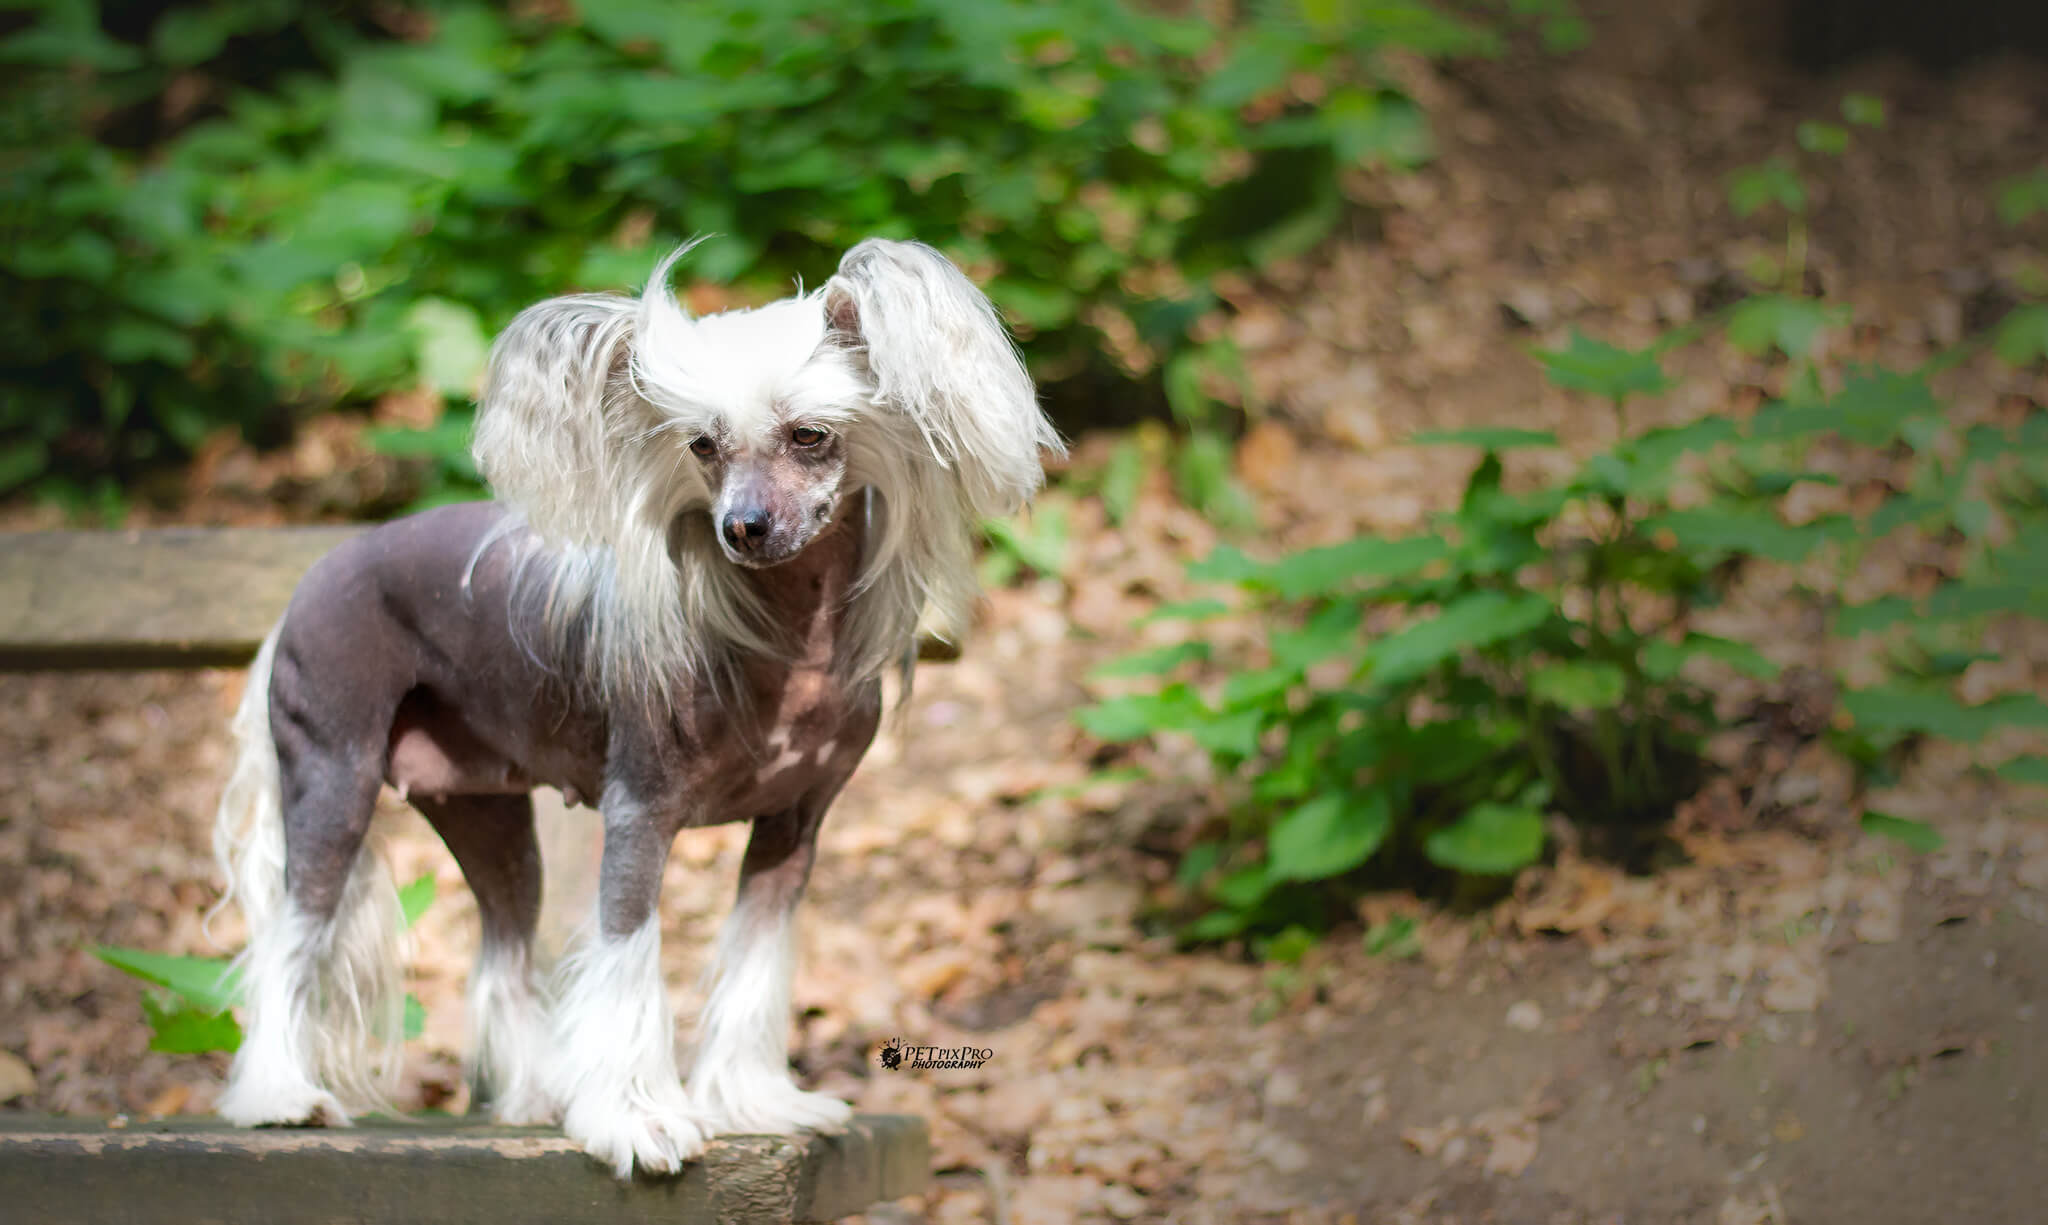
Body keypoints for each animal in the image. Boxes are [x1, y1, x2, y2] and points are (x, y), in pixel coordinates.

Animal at [211, 237, 1056, 1179]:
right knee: (291, 935)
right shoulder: (638, 814)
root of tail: (311, 576)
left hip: (487, 817)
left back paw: (533, 1094)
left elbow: (754, 962)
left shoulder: (794, 828)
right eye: (702, 444)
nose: (742, 527)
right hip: (335, 779)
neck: (788, 640)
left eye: (810, 434)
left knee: (503, 949)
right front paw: (636, 1118)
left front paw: (753, 1099)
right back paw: (279, 1095)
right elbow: (626, 958)